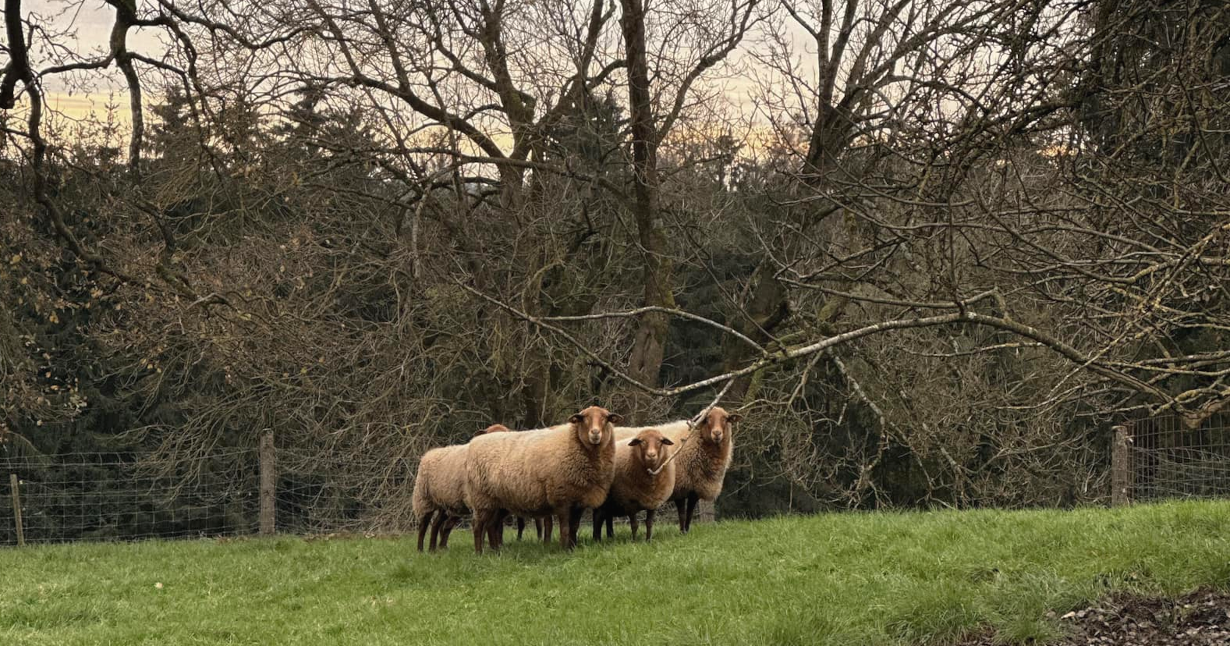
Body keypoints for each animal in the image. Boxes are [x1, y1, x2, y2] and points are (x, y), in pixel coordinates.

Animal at [462, 403, 624, 548]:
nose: (595, 433)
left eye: (605, 418)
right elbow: (565, 529)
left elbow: (574, 528)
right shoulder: (561, 497)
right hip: (481, 498)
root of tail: (474, 442)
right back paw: (479, 553)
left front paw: (573, 547)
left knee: (491, 525)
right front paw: (564, 550)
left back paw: (496, 552)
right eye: (583, 418)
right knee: (477, 526)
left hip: (497, 501)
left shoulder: (579, 500)